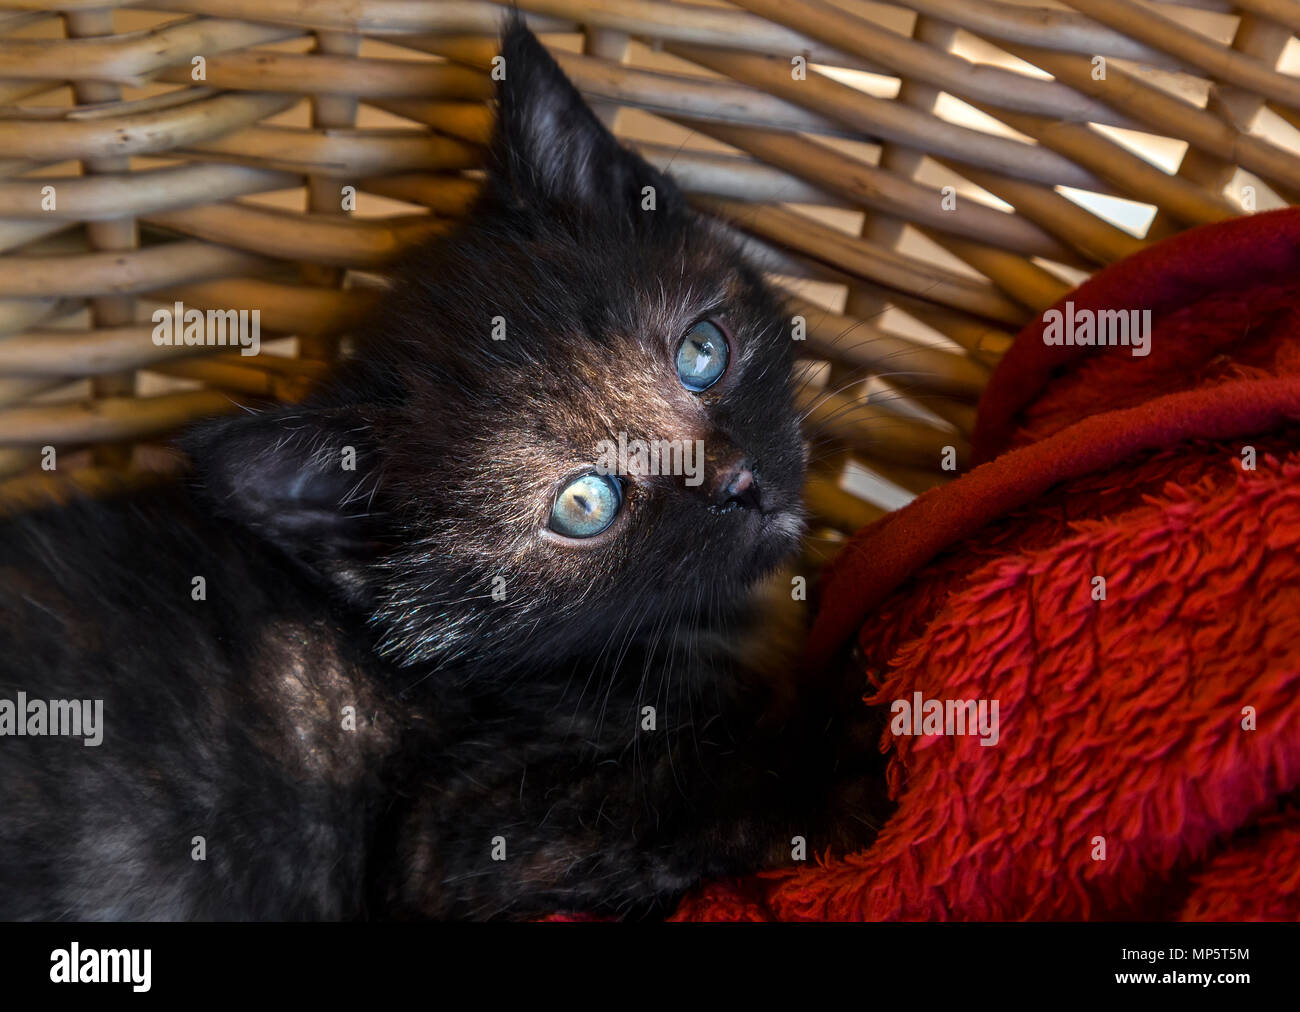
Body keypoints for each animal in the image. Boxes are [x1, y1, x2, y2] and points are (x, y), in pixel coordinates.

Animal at [0, 19, 883, 920]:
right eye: (585, 504)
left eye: (702, 351)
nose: (740, 483)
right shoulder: (457, 836)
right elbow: (679, 794)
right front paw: (841, 770)